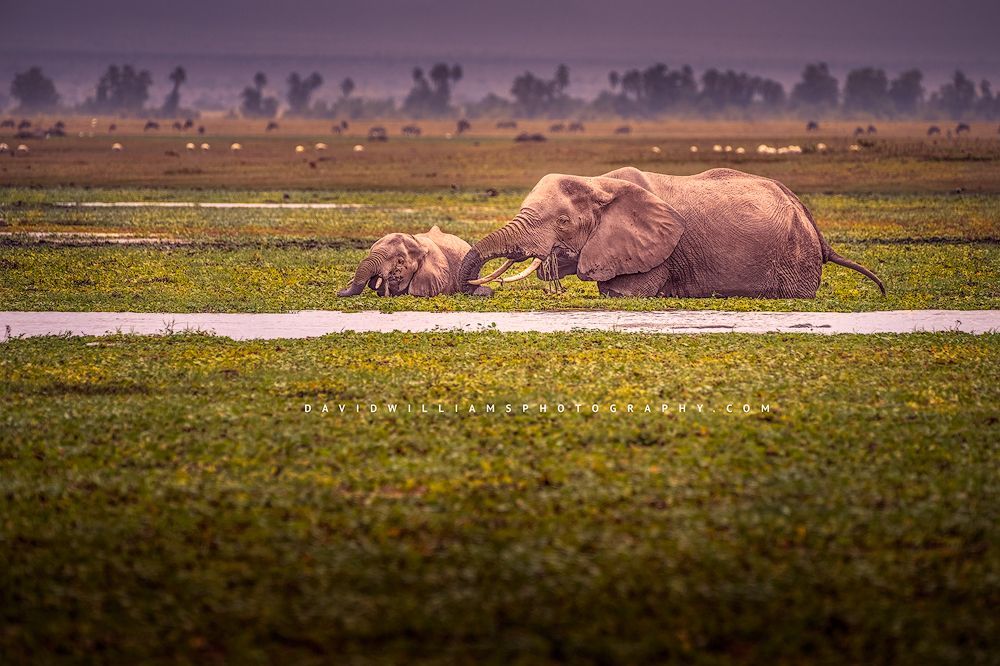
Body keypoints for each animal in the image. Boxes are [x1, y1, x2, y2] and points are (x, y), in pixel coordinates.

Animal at [459, 167, 885, 298]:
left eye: (563, 222)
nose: (480, 290)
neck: (600, 182)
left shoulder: (656, 252)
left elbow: (621, 293)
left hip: (796, 261)